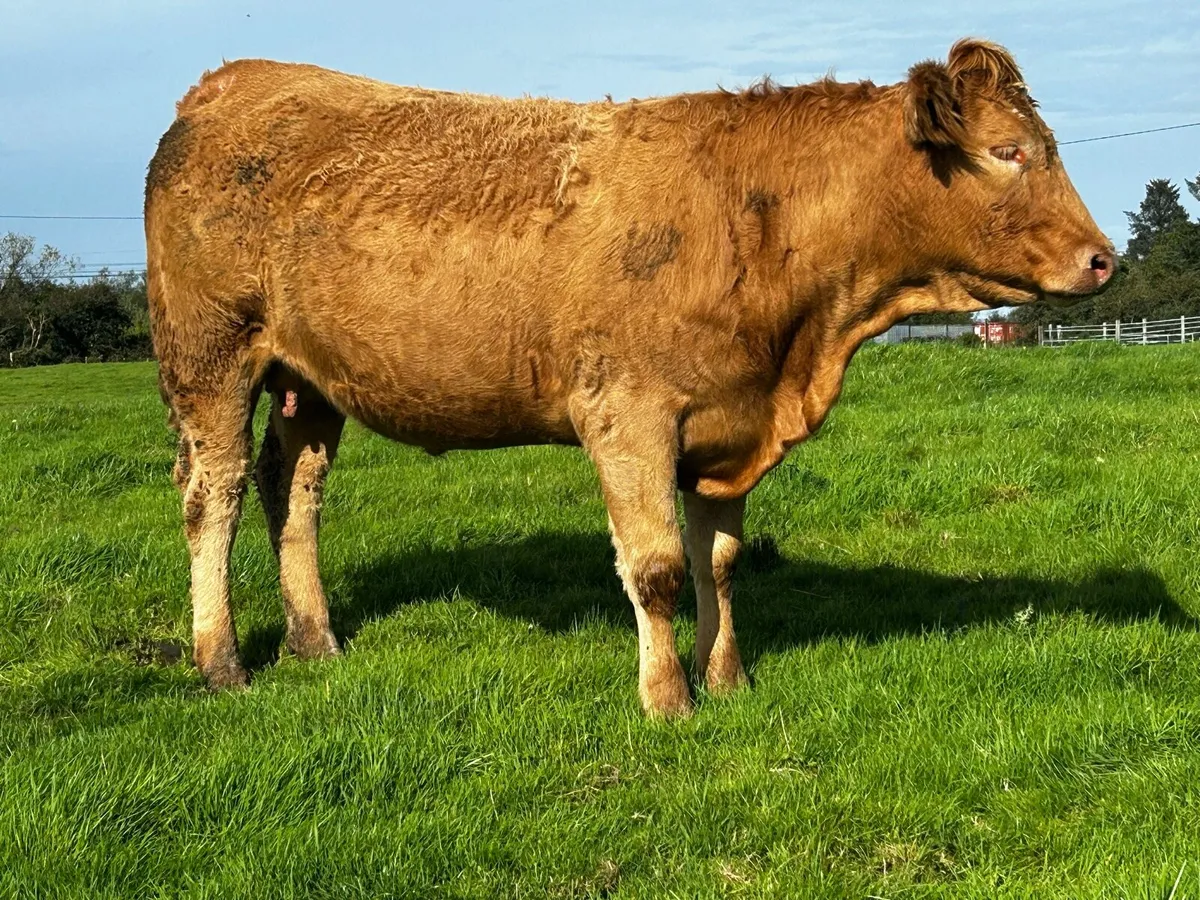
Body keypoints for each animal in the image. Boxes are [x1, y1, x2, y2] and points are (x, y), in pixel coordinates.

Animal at [145, 39, 1113, 717]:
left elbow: (719, 561)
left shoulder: (726, 425)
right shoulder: (628, 413)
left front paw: (727, 679)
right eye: (1009, 151)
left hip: (308, 382)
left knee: (293, 489)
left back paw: (315, 642)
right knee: (213, 494)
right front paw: (668, 699)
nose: (1103, 259)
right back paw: (222, 662)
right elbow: (656, 568)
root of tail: (226, 80)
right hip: (210, 357)